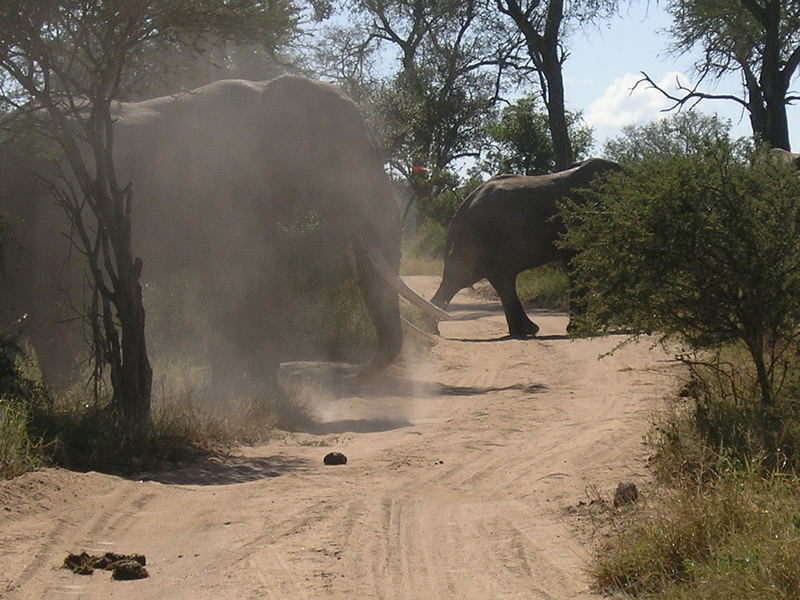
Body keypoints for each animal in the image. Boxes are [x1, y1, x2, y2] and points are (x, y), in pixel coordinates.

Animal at [0, 76, 444, 398]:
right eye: (340, 163)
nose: (354, 379)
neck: (274, 91)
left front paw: (246, 387)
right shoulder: (224, 185)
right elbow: (237, 276)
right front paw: (248, 391)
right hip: (50, 208)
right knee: (50, 299)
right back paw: (69, 396)